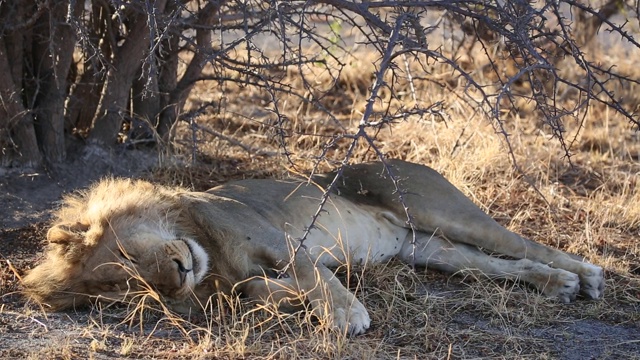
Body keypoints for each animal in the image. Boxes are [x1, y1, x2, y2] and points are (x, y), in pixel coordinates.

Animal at [22, 160, 604, 334]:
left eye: (124, 258)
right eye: (136, 290)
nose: (177, 275)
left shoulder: (289, 244)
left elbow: (318, 280)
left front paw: (347, 316)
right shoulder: (241, 279)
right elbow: (260, 289)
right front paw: (288, 301)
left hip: (442, 209)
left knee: (524, 242)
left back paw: (587, 274)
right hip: (428, 249)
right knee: (500, 264)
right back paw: (558, 285)